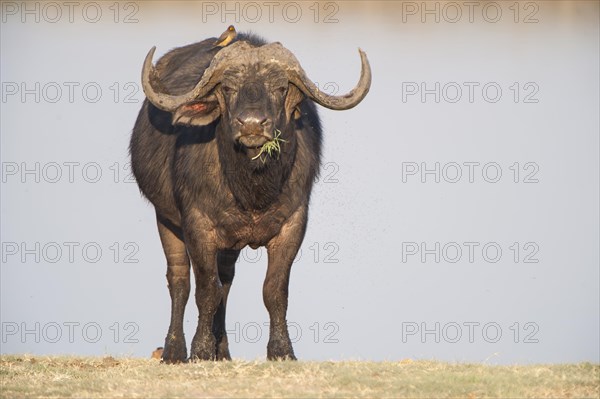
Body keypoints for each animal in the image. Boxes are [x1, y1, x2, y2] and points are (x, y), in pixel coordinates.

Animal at [131, 31, 370, 362]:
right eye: (228, 88)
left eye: (280, 88)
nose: (253, 125)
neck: (251, 189)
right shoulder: (197, 225)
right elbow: (206, 290)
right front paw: (200, 350)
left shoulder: (292, 226)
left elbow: (273, 290)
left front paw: (281, 351)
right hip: (165, 219)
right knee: (179, 281)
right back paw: (174, 350)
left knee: (226, 282)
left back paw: (223, 351)